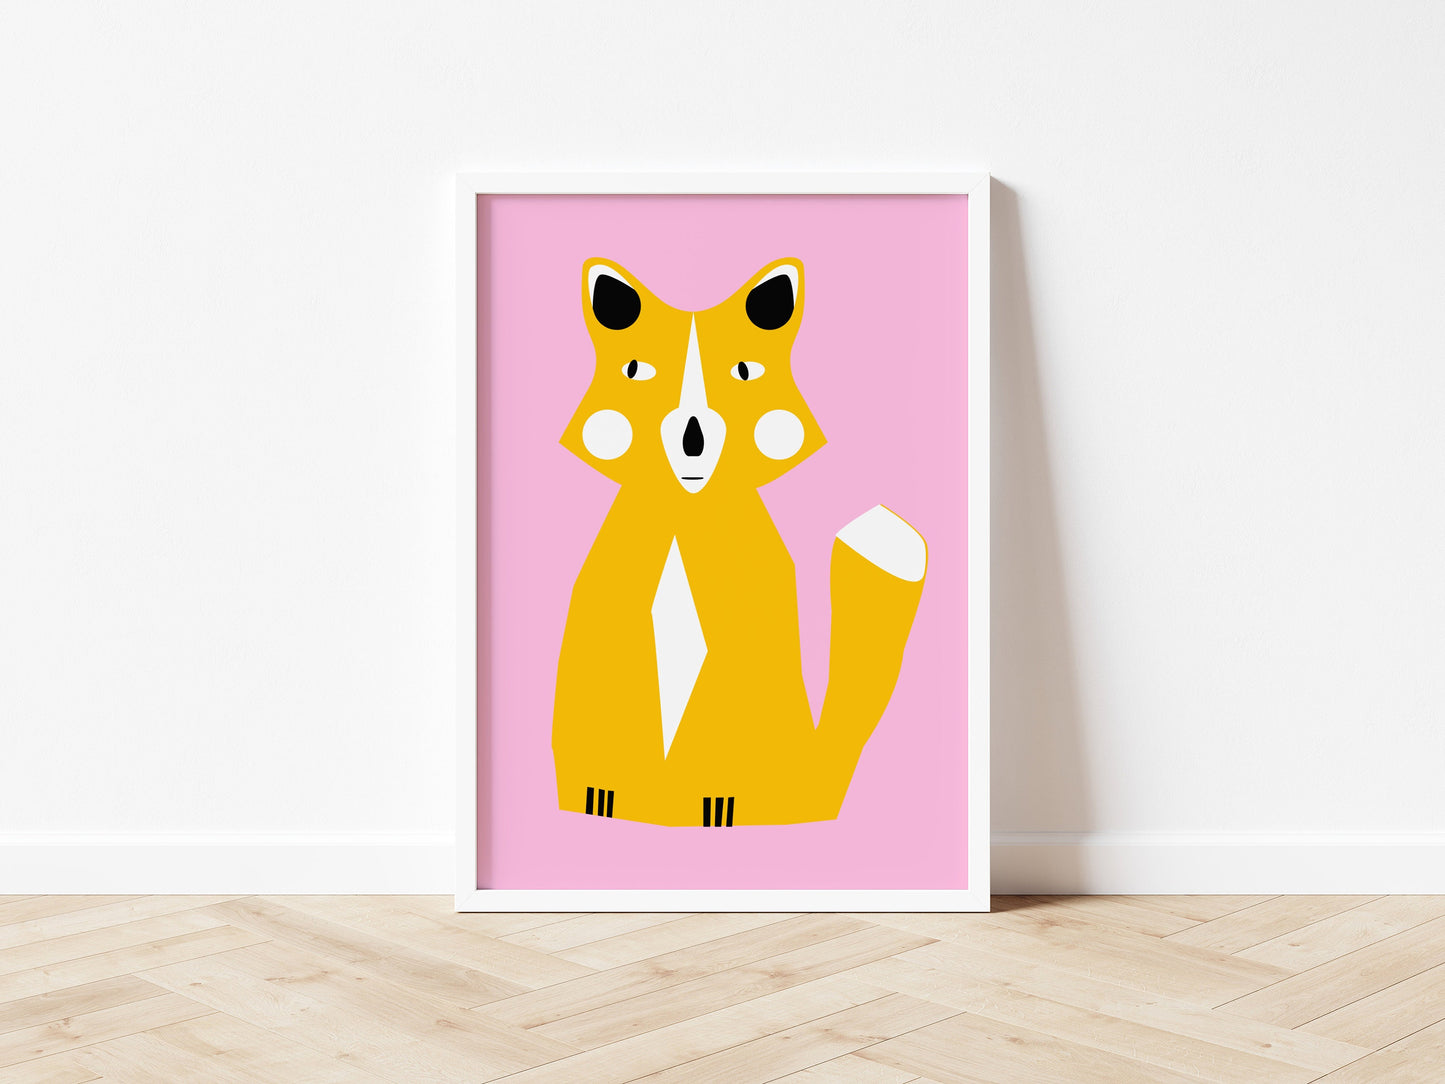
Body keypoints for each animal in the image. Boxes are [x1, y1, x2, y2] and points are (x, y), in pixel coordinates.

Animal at [553, 257, 927, 827]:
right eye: (637, 371)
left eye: (743, 372)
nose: (693, 437)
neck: (686, 508)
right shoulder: (607, 619)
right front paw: (600, 792)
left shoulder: (747, 636)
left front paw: (718, 799)